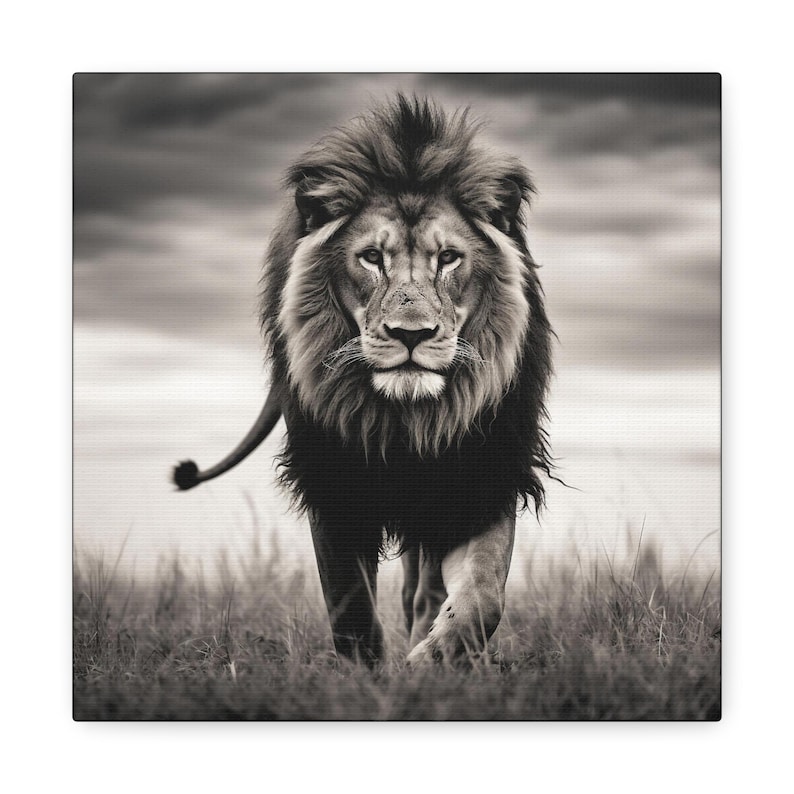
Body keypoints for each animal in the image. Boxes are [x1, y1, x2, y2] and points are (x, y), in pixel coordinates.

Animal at [174, 95, 553, 665]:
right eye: (372, 257)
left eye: (448, 258)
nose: (411, 334)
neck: (406, 419)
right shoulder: (334, 481)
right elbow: (350, 609)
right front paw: (370, 675)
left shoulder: (483, 472)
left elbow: (482, 597)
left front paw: (428, 662)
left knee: (426, 588)